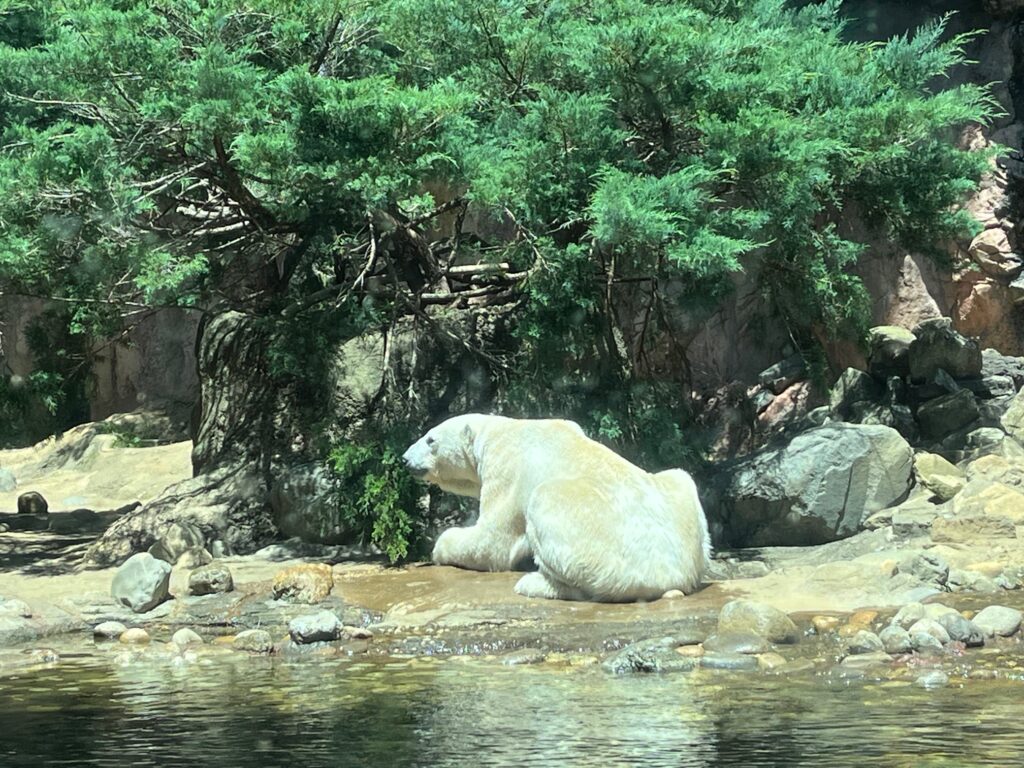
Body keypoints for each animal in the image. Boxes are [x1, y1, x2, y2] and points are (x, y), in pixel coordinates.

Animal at [401, 411, 712, 606]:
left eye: (430, 439)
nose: (404, 458)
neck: (501, 429)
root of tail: (677, 573)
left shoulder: (506, 469)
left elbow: (492, 542)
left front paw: (439, 545)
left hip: (596, 540)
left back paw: (533, 583)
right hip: (679, 493)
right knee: (680, 475)